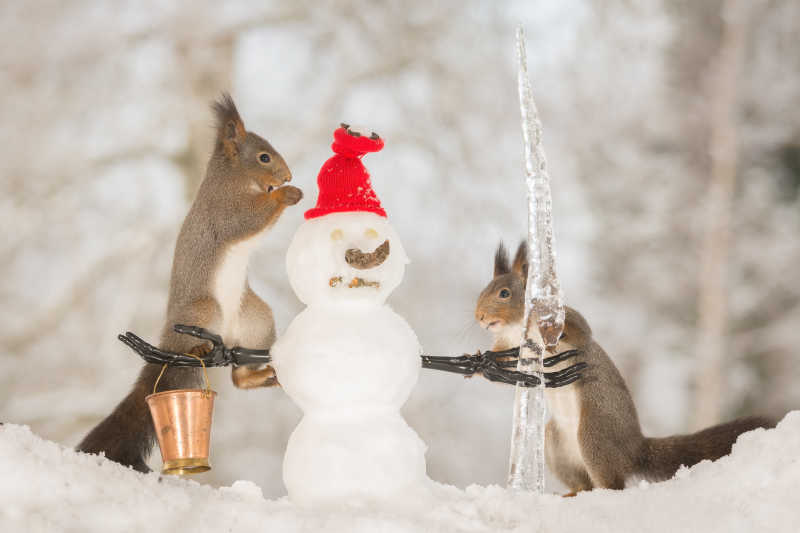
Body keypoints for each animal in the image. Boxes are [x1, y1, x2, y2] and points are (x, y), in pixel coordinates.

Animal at [76, 94, 302, 470]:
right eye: (263, 157)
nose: (288, 175)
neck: (235, 178)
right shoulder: (225, 209)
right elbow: (249, 219)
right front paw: (285, 194)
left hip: (255, 318)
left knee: (239, 378)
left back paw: (255, 374)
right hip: (202, 311)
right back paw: (197, 350)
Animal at [476, 240, 776, 490]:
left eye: (504, 293)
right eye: (484, 290)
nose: (479, 316)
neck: (517, 330)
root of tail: (635, 449)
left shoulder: (571, 322)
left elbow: (580, 332)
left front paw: (545, 322)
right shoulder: (509, 345)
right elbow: (504, 363)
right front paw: (481, 363)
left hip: (594, 433)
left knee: (612, 484)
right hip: (555, 443)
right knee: (584, 484)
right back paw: (572, 494)